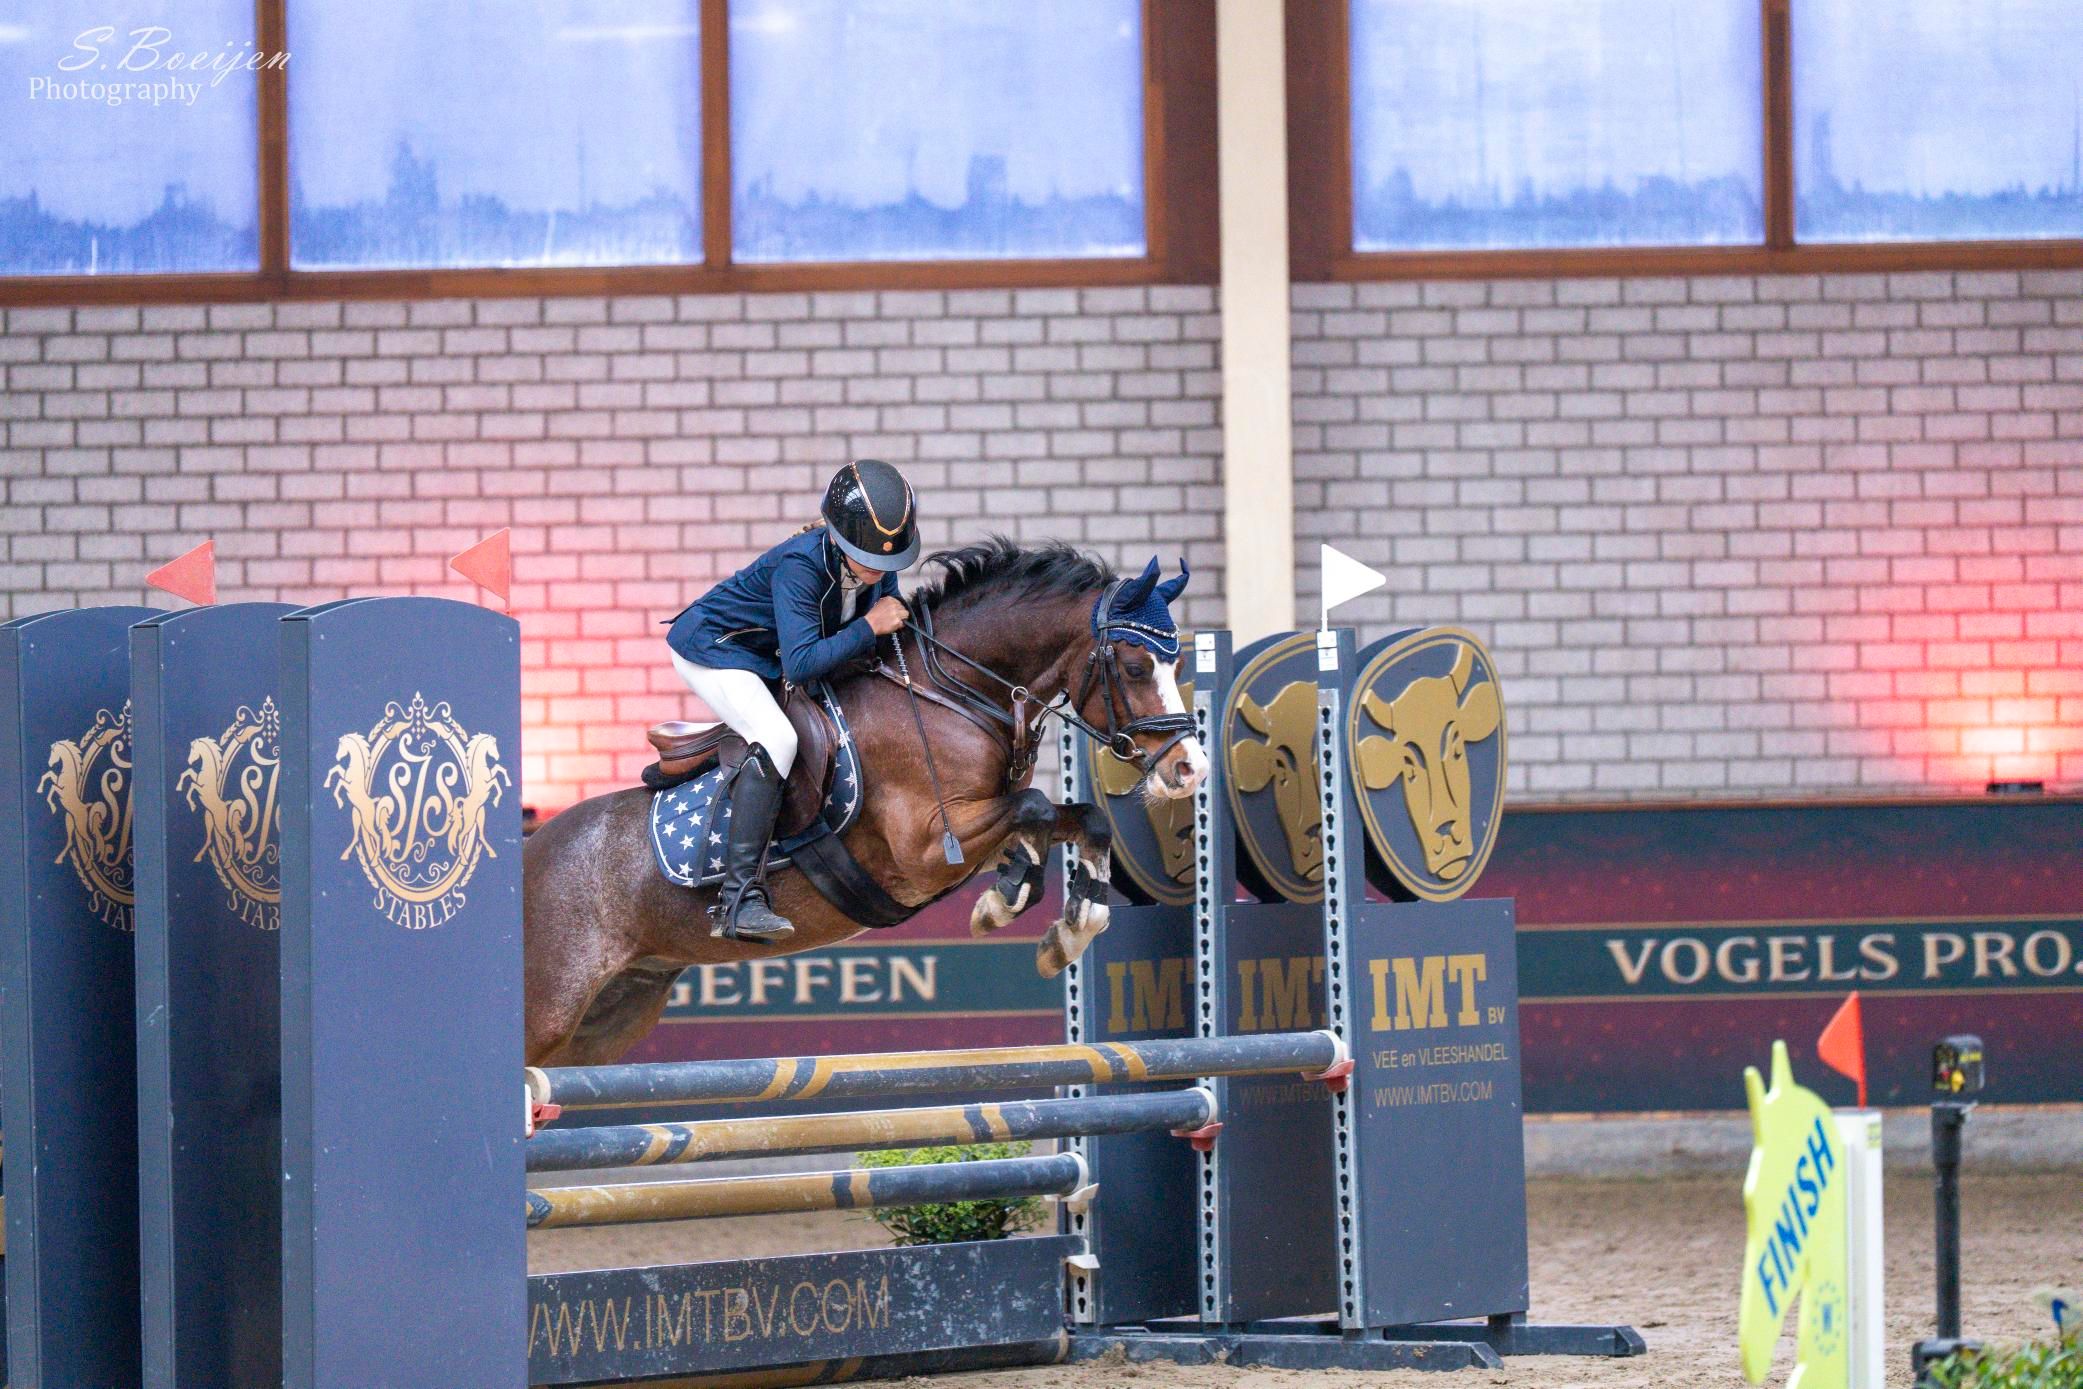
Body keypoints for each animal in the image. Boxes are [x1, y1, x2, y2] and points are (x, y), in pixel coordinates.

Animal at [522, 540, 1209, 1066]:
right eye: (1134, 666)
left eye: (1177, 659)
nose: (1190, 769)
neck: (951, 694)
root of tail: (528, 854)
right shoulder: (925, 848)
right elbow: (1037, 807)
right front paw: (1004, 904)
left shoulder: (968, 831)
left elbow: (1078, 820)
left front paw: (1069, 924)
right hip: (554, 1005)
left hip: (613, 1016)